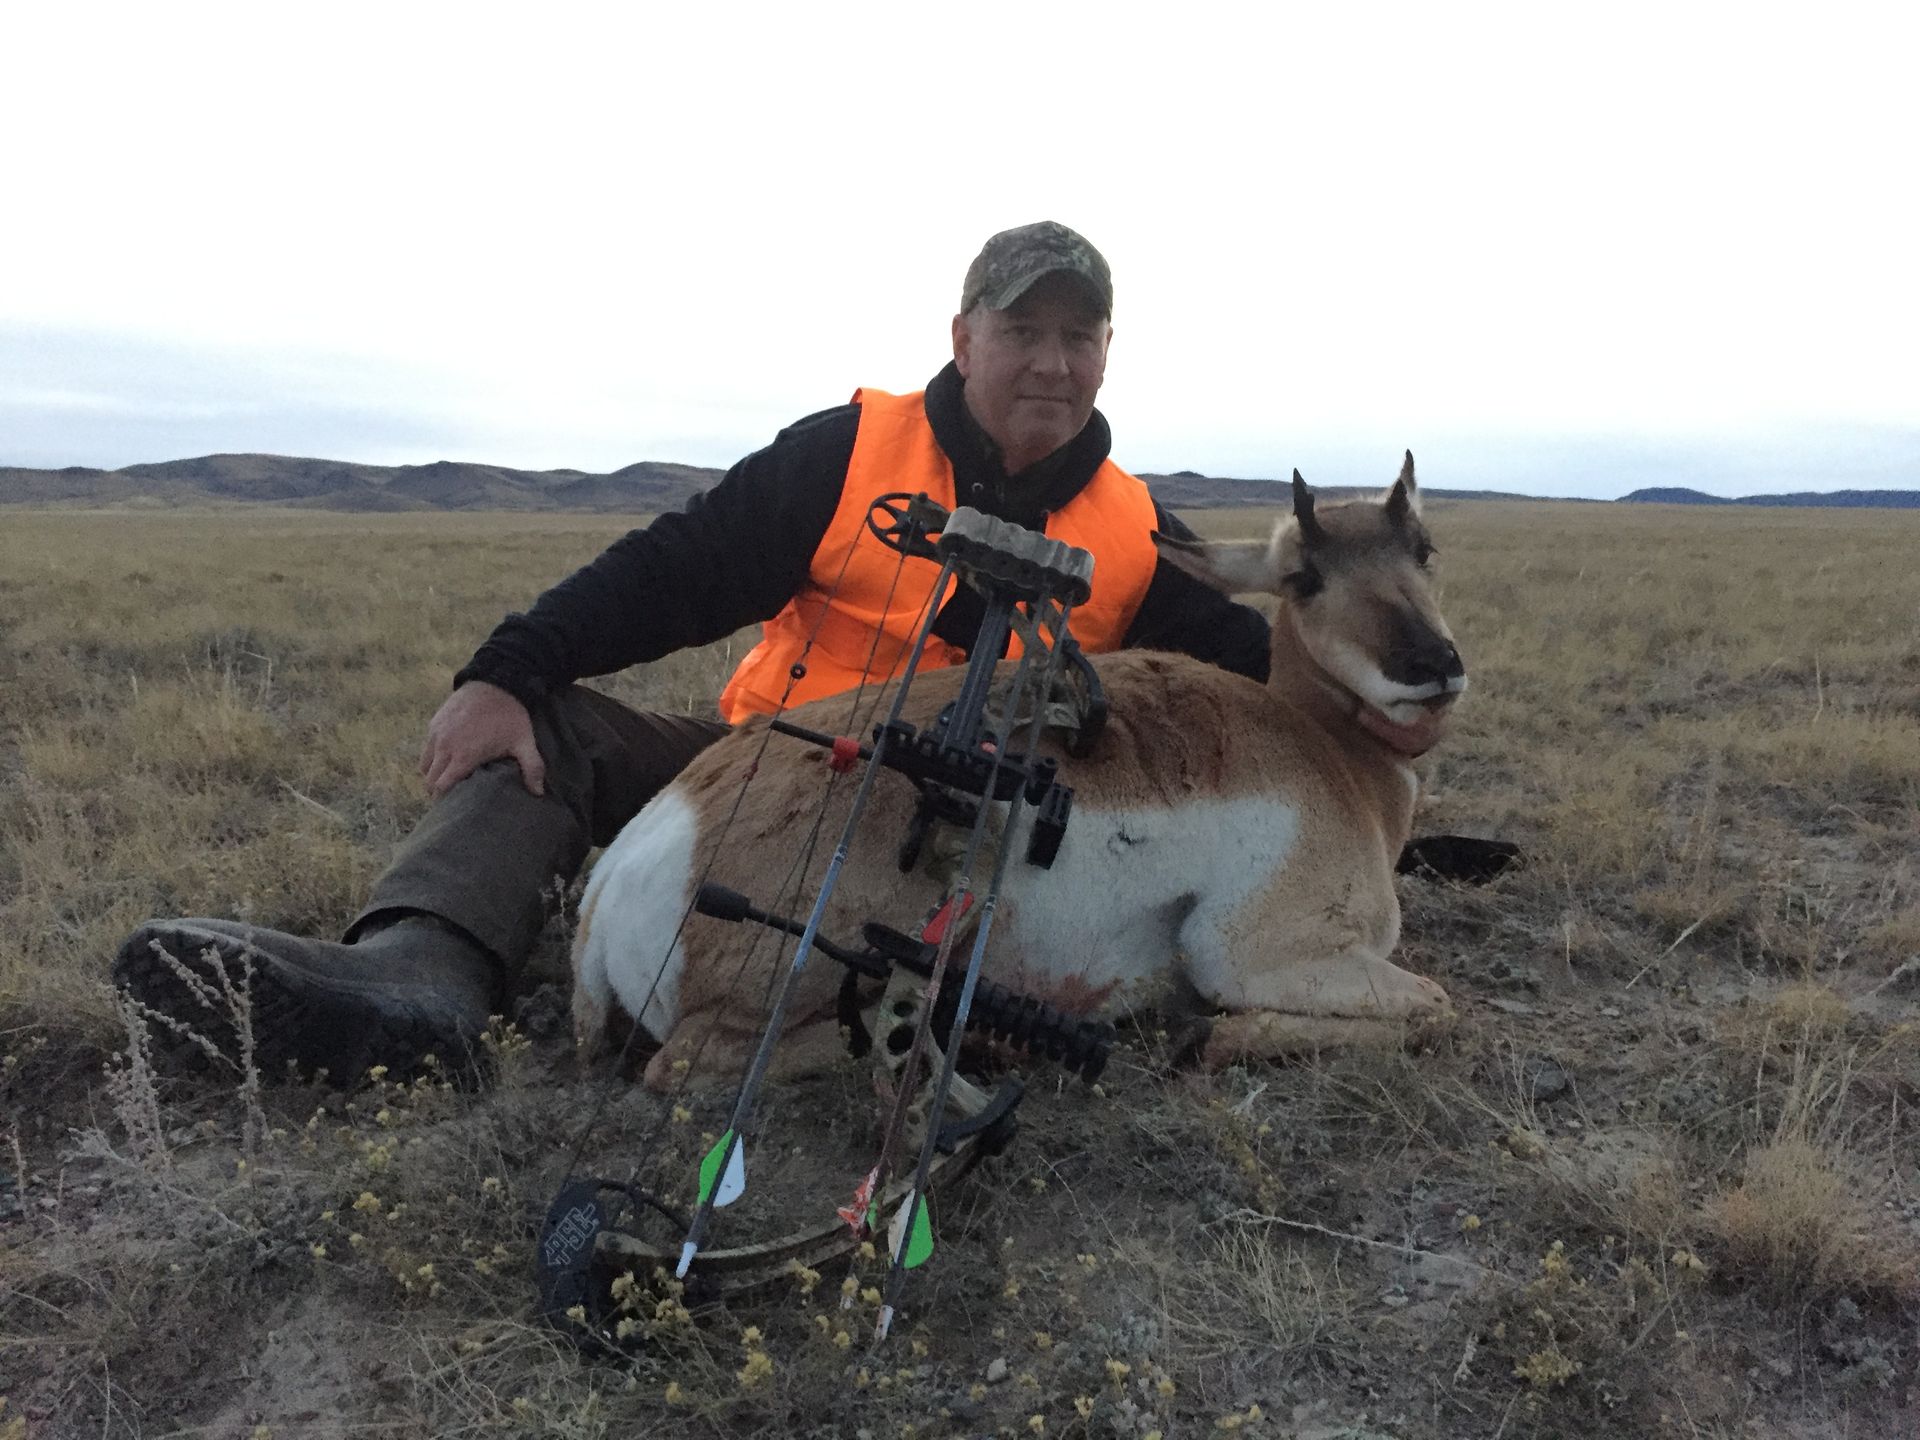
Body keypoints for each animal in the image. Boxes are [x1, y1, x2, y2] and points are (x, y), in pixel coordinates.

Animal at [573, 453, 1465, 1087]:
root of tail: (625, 864)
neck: (1330, 756)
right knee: (698, 1063)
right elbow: (1440, 1008)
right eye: (1303, 577)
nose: (1433, 665)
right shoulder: (1253, 954)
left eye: (1423, 550)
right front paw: (1203, 1037)